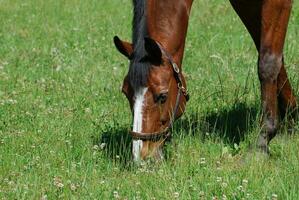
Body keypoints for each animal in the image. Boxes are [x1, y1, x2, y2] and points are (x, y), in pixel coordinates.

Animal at [114, 0, 298, 162]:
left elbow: (268, 62)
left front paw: (262, 142)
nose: (141, 157)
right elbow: (268, 52)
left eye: (162, 96)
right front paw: (291, 118)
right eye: (126, 93)